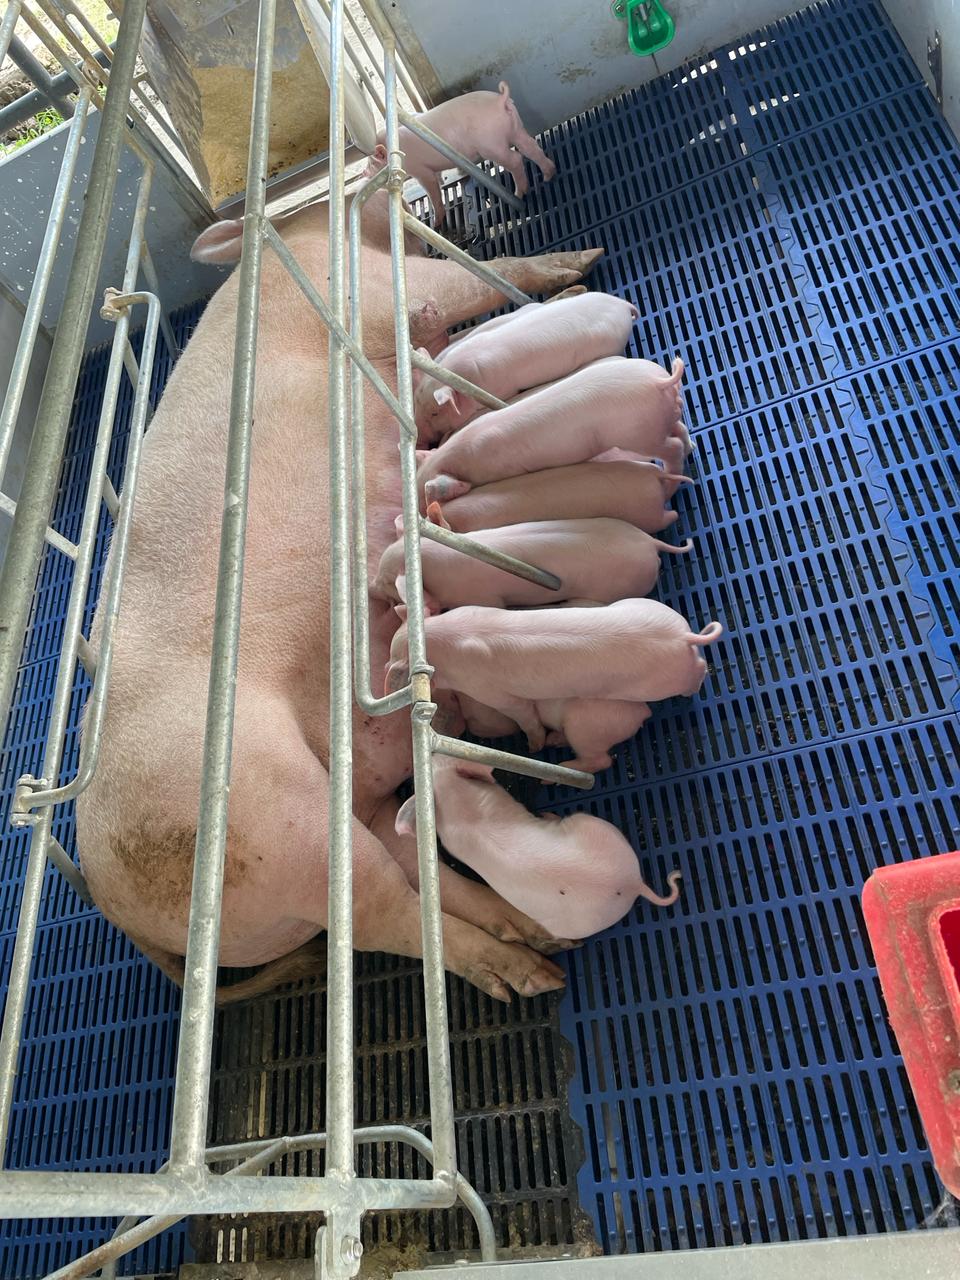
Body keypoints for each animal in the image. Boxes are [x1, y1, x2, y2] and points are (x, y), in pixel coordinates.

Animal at [75, 188, 608, 1008]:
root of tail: (121, 908)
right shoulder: (381, 289)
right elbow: (479, 276)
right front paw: (581, 265)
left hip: (349, 799)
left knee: (415, 864)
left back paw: (542, 940)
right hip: (270, 829)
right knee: (385, 913)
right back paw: (533, 976)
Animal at [366, 81, 555, 228]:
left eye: (373, 162)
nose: (364, 172)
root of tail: (500, 101)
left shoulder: (419, 170)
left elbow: (432, 190)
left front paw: (437, 224)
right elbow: (438, 179)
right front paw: (442, 182)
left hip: (491, 144)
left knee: (516, 159)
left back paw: (519, 193)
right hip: (516, 127)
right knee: (531, 147)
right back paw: (548, 175)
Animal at [385, 599, 723, 751]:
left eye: (391, 657)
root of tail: (682, 637)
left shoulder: (490, 690)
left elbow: (525, 715)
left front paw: (534, 747)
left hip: (659, 682)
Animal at [416, 356, 688, 505]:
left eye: (423, 495)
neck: (457, 453)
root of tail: (658, 381)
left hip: (638, 432)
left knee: (673, 448)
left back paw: (669, 487)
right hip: (661, 417)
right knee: (681, 429)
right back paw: (691, 448)